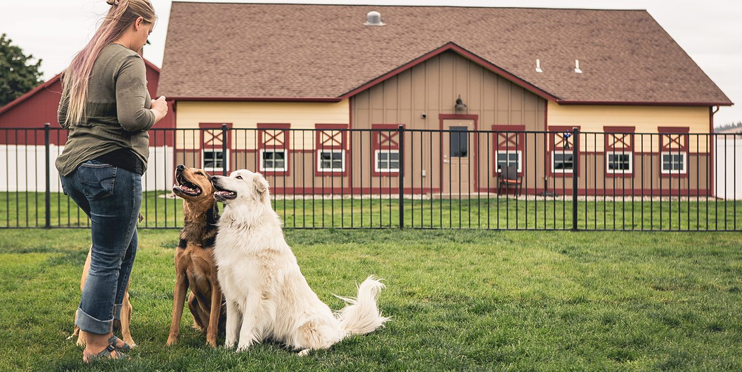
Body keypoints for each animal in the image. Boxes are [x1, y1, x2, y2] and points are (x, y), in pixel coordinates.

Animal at [167, 164, 225, 348]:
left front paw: (211, 345)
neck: (195, 223)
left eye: (199, 173)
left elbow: (213, 319)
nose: (179, 166)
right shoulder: (180, 278)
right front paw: (170, 343)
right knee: (204, 325)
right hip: (191, 299)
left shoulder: (215, 280)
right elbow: (175, 317)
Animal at [209, 169, 390, 354]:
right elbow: (231, 327)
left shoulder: (256, 294)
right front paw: (226, 349)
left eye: (239, 177)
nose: (212, 177)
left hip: (304, 329)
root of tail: (339, 330)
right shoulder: (231, 295)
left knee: (326, 345)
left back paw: (303, 353)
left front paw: (241, 350)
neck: (244, 223)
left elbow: (246, 327)